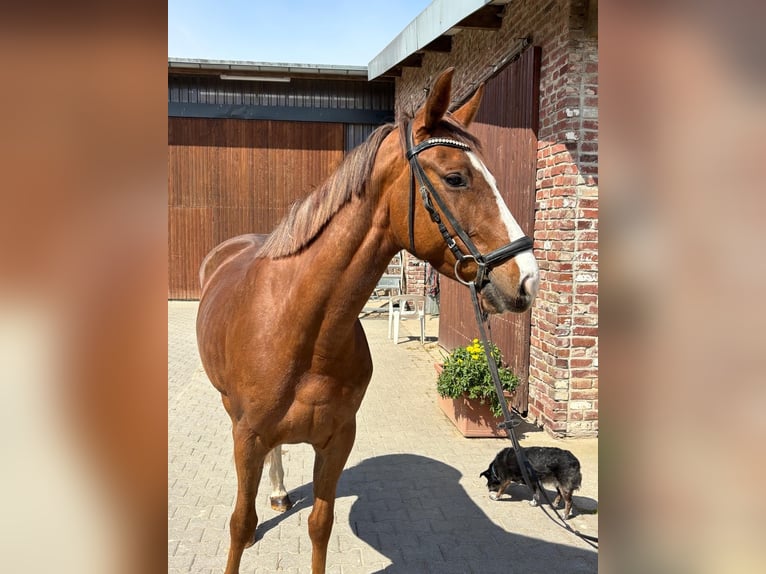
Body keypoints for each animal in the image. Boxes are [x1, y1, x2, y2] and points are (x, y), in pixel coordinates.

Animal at [196, 68, 539, 574]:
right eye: (456, 178)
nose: (527, 280)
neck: (303, 333)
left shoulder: (339, 439)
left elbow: (320, 525)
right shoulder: (248, 436)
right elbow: (241, 525)